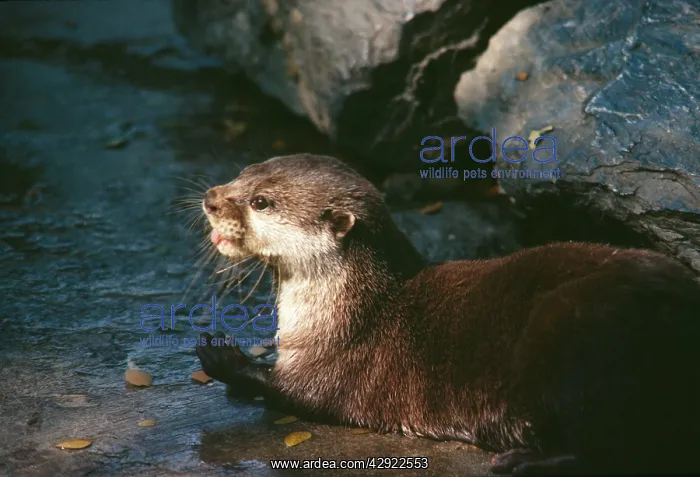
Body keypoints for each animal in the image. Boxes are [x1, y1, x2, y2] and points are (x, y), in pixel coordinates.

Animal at [196, 154, 700, 475]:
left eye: (261, 202)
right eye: (243, 172)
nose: (211, 198)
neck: (347, 309)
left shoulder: (333, 364)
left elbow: (291, 394)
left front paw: (223, 355)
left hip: (574, 334)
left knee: (606, 448)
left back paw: (522, 460)